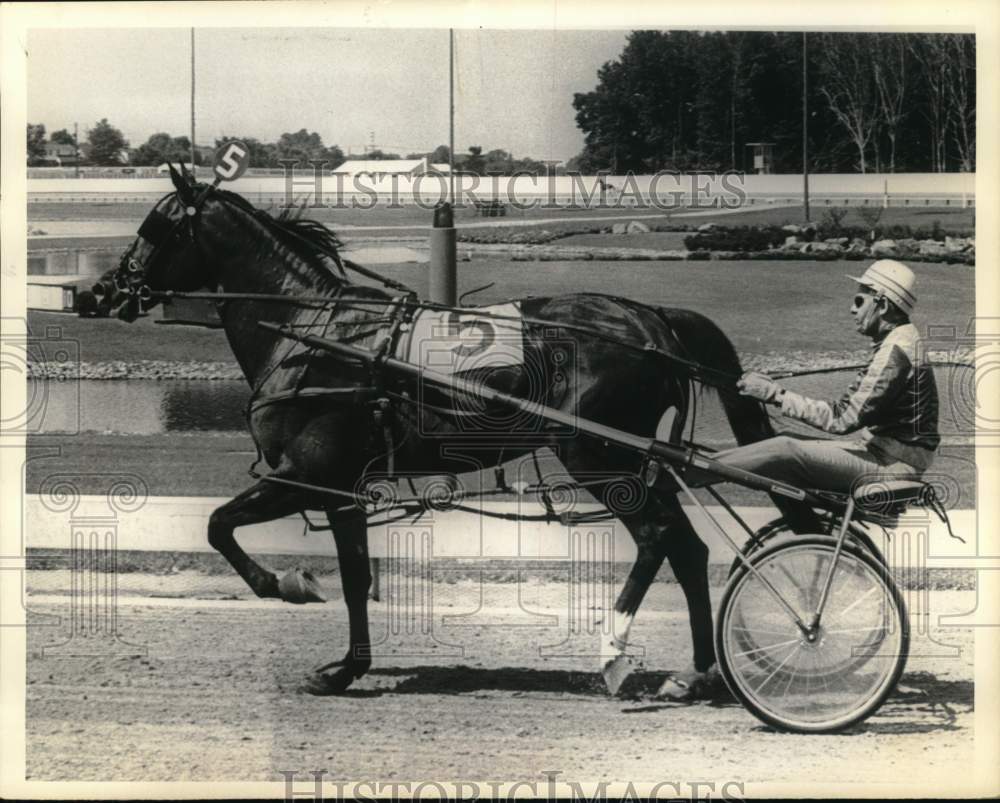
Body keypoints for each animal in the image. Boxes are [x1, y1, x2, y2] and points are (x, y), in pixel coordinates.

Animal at [109, 168, 816, 696]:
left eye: (153, 227)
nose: (107, 290)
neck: (319, 334)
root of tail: (651, 320)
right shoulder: (343, 489)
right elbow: (356, 577)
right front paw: (346, 668)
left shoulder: (306, 475)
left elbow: (217, 525)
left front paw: (285, 585)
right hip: (630, 461)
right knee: (686, 547)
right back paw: (695, 674)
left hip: (599, 457)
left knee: (658, 538)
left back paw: (614, 656)